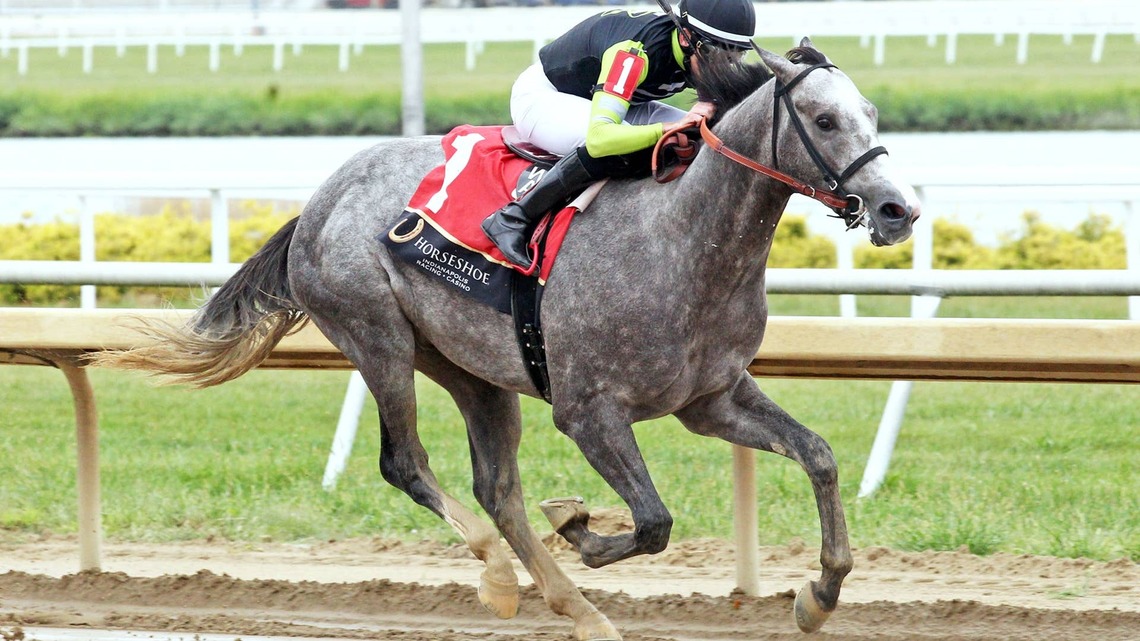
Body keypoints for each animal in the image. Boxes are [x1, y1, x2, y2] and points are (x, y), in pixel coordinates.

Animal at [94, 39, 919, 640]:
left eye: (872, 112)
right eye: (823, 120)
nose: (898, 209)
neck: (685, 240)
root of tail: (320, 200)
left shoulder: (710, 397)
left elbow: (818, 455)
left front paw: (818, 593)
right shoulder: (589, 410)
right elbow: (653, 521)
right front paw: (581, 527)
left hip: (473, 369)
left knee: (497, 487)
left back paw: (581, 612)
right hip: (376, 335)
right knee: (407, 463)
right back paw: (498, 578)